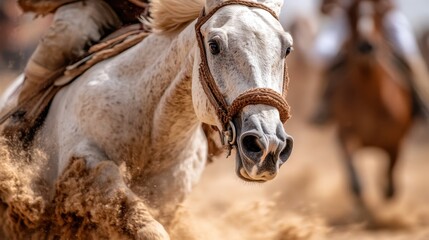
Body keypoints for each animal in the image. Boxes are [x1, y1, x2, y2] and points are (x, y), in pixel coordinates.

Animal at [326, 0, 416, 203]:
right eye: (351, 13)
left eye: (378, 13)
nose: (366, 46)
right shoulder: (347, 132)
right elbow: (353, 170)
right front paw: (358, 186)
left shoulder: (396, 141)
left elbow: (391, 181)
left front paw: (384, 186)